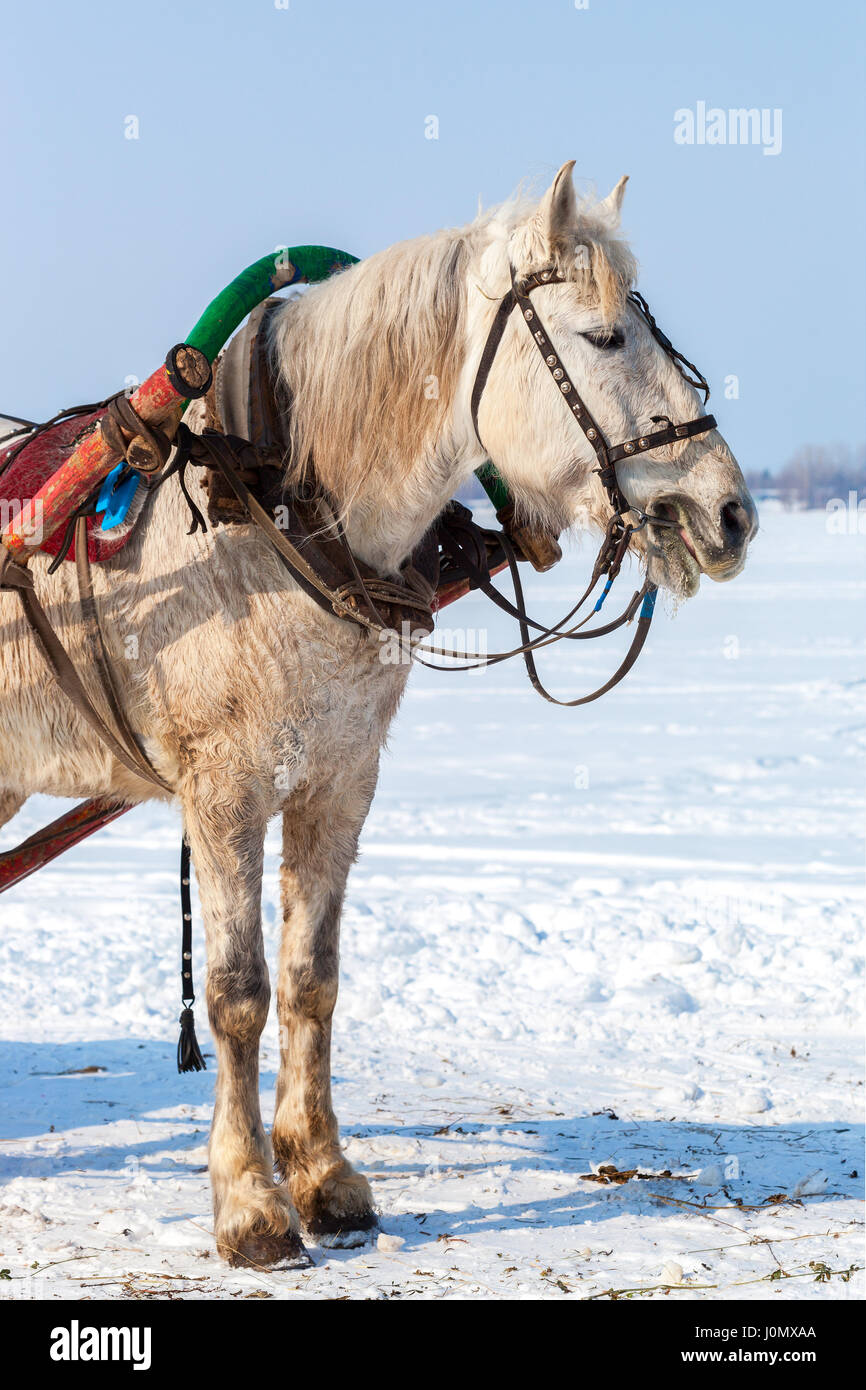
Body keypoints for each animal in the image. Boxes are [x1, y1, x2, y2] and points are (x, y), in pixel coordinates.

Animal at [0, 162, 757, 1267]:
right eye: (604, 336)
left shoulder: (339, 780)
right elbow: (237, 993)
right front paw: (250, 1203)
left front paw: (324, 1177)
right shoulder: (223, 791)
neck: (280, 512)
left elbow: (312, 978)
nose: (730, 512)